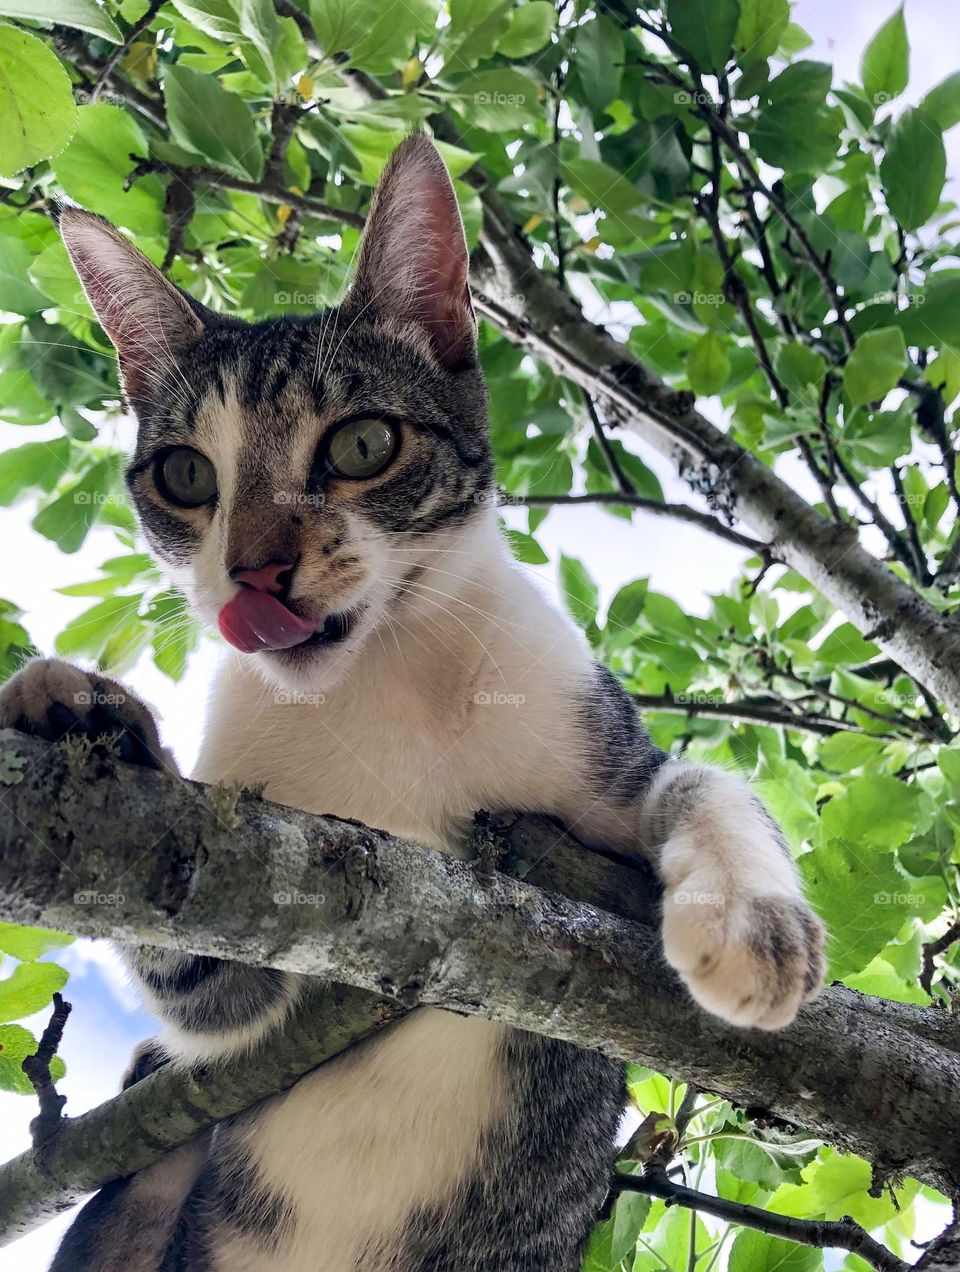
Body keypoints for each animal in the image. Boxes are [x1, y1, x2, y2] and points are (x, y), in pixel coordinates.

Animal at [0, 134, 823, 1272]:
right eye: (184, 475)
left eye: (360, 446)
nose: (254, 570)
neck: (378, 684)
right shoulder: (253, 946)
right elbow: (211, 994)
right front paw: (85, 713)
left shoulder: (597, 756)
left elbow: (702, 779)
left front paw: (749, 919)